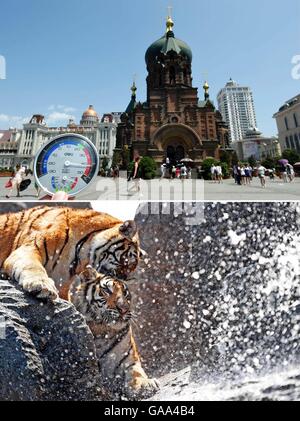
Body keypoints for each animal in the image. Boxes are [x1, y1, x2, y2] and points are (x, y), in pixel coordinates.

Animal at [0, 205, 141, 300]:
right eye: (127, 259)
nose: (123, 278)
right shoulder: (30, 248)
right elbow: (33, 267)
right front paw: (42, 286)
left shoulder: (62, 284)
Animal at [69, 266, 161, 398]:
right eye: (107, 290)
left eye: (125, 293)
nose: (123, 309)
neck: (102, 330)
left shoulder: (129, 361)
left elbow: (136, 373)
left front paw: (146, 384)